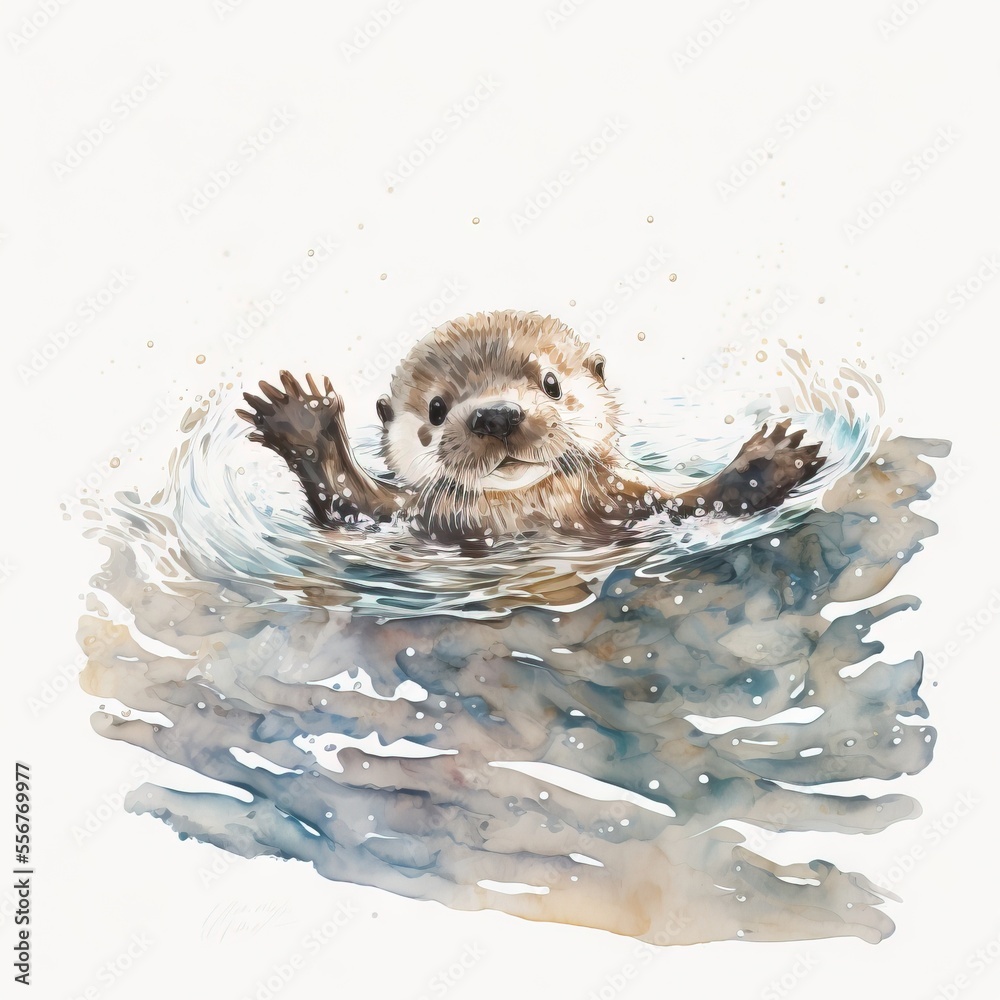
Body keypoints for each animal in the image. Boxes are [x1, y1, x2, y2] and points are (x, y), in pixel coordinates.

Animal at [237, 309, 824, 542]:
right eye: (435, 409)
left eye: (550, 383)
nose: (497, 414)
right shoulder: (407, 518)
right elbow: (345, 503)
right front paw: (303, 419)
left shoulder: (636, 499)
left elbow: (696, 503)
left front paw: (769, 459)